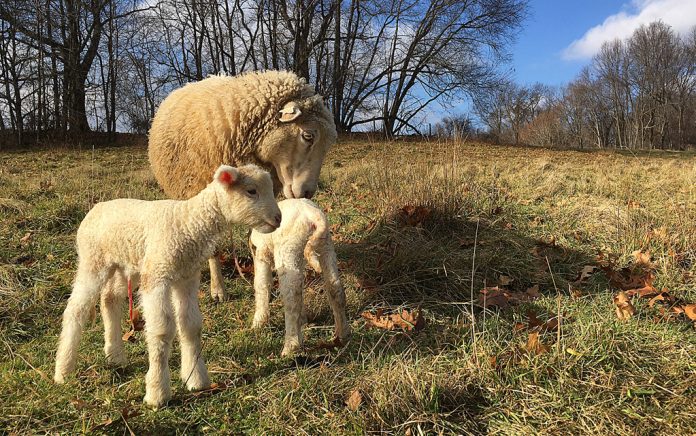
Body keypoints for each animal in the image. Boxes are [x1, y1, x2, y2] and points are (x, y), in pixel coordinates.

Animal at [54, 164, 282, 408]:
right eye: (251, 191)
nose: (278, 218)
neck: (188, 223)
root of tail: (96, 208)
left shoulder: (187, 277)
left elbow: (191, 326)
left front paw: (196, 380)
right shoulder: (157, 275)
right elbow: (162, 330)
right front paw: (157, 393)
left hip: (128, 265)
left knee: (110, 300)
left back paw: (115, 356)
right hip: (93, 261)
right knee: (76, 309)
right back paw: (63, 370)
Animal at [149, 70, 338, 300]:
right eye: (308, 136)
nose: (308, 192)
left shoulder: (261, 203)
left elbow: (255, 239)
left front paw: (262, 280)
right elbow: (212, 249)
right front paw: (218, 290)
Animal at [249, 199, 350, 356]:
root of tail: (314, 216)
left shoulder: (262, 254)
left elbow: (262, 285)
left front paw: (258, 324)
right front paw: (302, 320)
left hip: (288, 250)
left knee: (291, 299)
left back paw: (290, 347)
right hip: (324, 247)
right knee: (335, 289)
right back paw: (342, 335)